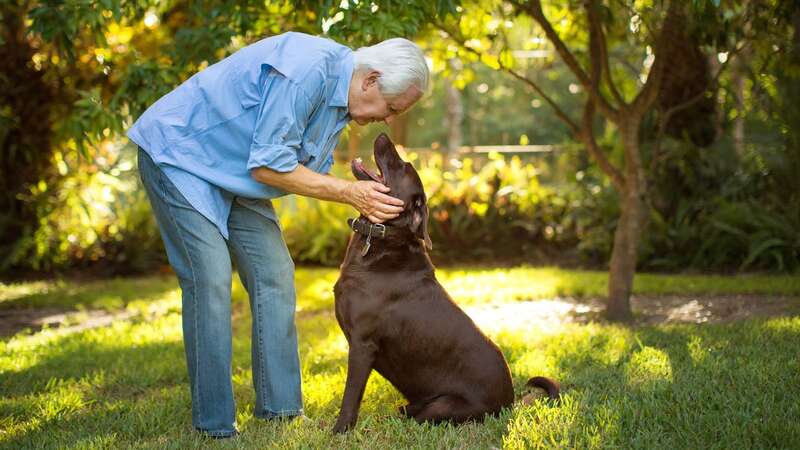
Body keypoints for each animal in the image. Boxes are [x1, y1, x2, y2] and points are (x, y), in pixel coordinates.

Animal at [332, 134, 556, 432]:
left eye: (402, 165)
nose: (383, 135)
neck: (384, 238)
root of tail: (510, 404)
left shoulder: (362, 346)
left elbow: (350, 398)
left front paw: (339, 431)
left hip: (442, 406)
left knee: (419, 419)